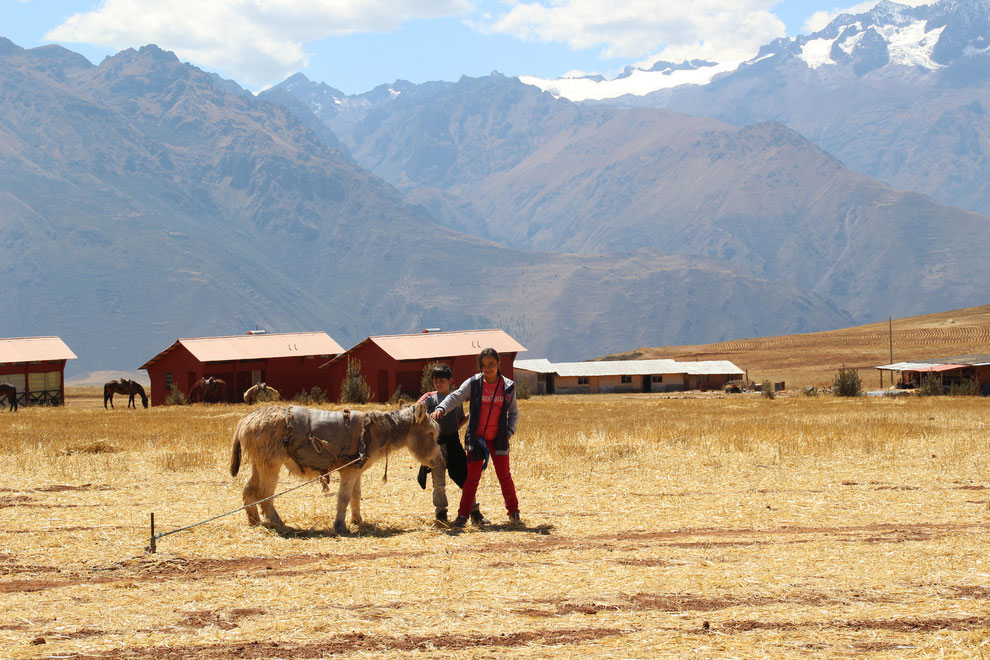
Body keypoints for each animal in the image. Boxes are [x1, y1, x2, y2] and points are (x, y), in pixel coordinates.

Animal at [232, 400, 442, 532]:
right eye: (431, 433)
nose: (440, 460)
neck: (374, 431)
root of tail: (244, 421)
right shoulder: (349, 470)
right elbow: (344, 497)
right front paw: (340, 526)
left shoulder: (357, 470)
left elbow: (356, 496)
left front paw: (358, 521)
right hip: (271, 464)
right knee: (264, 494)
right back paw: (279, 523)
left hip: (260, 464)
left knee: (250, 490)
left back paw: (254, 521)